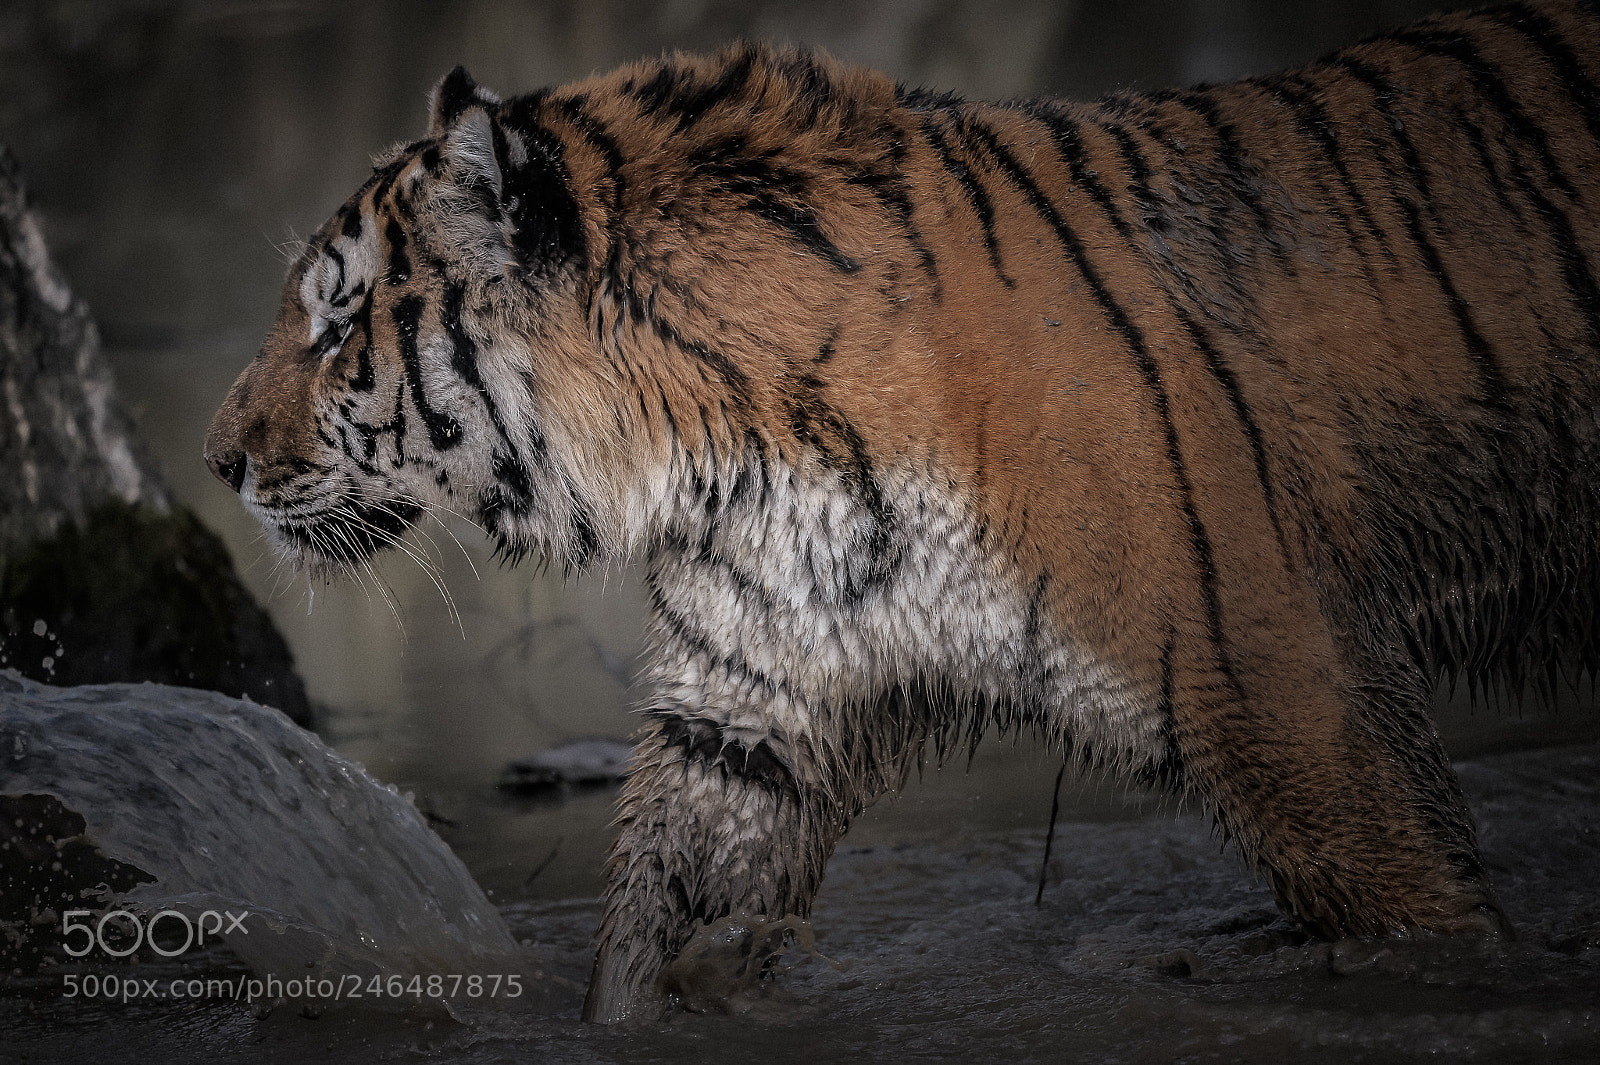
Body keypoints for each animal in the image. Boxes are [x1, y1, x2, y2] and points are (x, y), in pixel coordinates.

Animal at [205, 0, 1600, 1023]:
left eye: (336, 325)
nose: (217, 463)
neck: (736, 449)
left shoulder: (1284, 692)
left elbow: (1421, 910)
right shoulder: (746, 709)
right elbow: (658, 927)